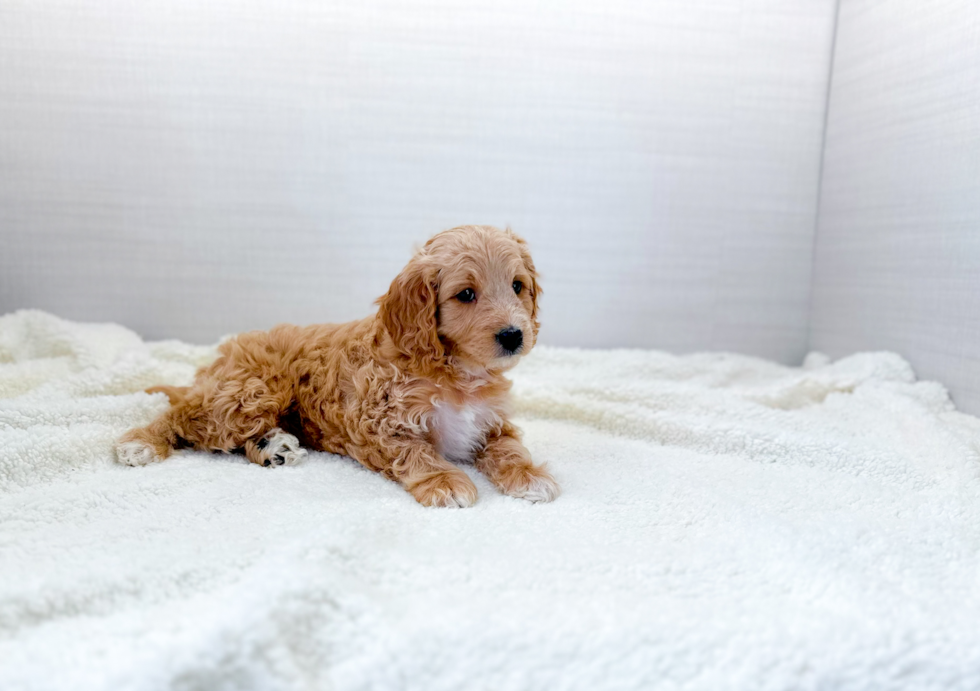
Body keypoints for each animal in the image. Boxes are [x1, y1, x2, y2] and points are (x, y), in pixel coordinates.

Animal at [115, 227, 560, 508]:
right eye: (466, 294)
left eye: (517, 286)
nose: (513, 335)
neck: (455, 371)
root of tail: (221, 360)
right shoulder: (380, 423)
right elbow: (418, 453)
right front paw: (444, 481)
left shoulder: (492, 422)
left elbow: (509, 448)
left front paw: (528, 476)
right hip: (250, 392)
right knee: (187, 416)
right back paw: (141, 441)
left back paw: (272, 447)